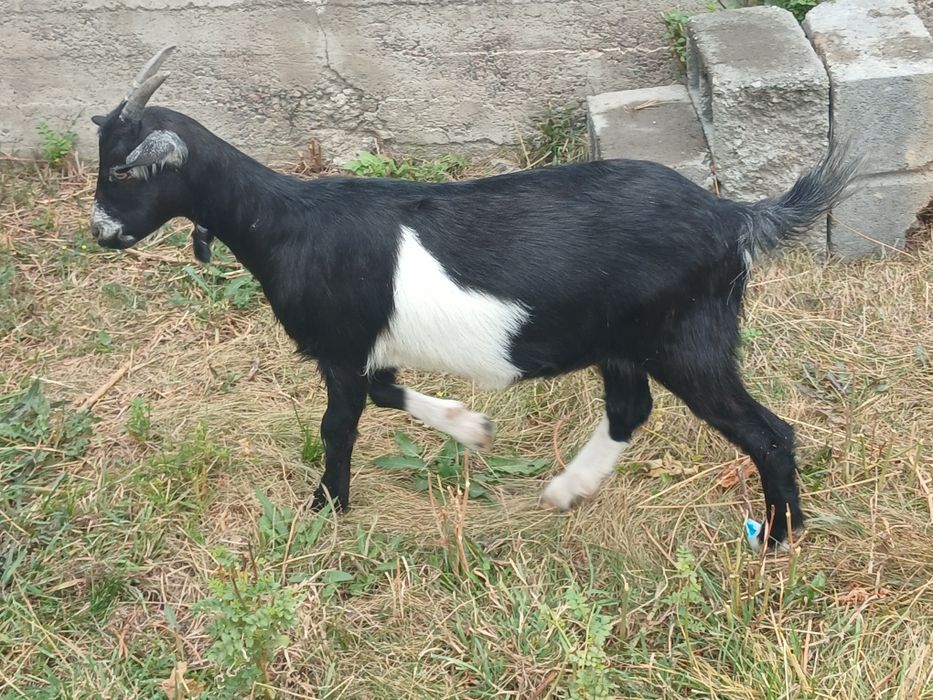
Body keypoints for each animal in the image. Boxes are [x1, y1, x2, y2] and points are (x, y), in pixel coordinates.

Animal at [90, 46, 859, 548]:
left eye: (125, 172)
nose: (100, 232)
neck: (285, 222)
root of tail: (731, 218)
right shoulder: (368, 348)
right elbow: (385, 392)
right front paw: (471, 427)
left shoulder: (340, 346)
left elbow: (339, 425)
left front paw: (324, 507)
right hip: (623, 340)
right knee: (629, 407)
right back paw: (568, 490)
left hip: (686, 339)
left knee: (766, 432)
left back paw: (779, 536)